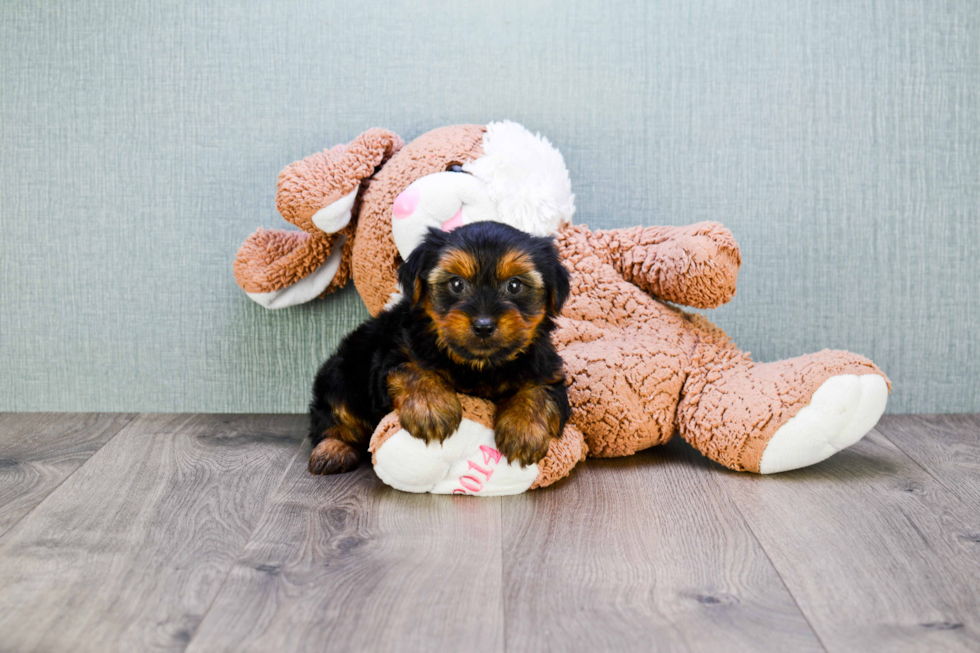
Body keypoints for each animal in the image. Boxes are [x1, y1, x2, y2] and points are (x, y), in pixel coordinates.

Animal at [304, 220, 568, 474]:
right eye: (456, 284)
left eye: (514, 286)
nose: (483, 325)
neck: (479, 364)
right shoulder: (394, 354)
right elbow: (411, 369)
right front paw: (430, 408)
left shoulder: (549, 371)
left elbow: (539, 390)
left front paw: (523, 428)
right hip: (340, 373)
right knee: (334, 416)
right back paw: (333, 449)